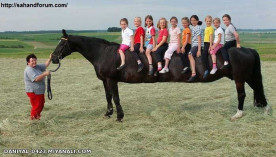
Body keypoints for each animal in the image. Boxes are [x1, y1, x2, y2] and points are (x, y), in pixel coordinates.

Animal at [51, 29, 268, 121]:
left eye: (61, 44)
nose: (53, 58)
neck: (104, 53)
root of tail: (246, 49)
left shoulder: (112, 79)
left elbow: (115, 97)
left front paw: (119, 116)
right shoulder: (106, 80)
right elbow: (108, 97)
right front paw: (108, 113)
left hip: (240, 78)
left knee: (243, 94)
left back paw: (238, 114)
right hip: (246, 76)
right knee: (257, 89)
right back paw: (264, 109)